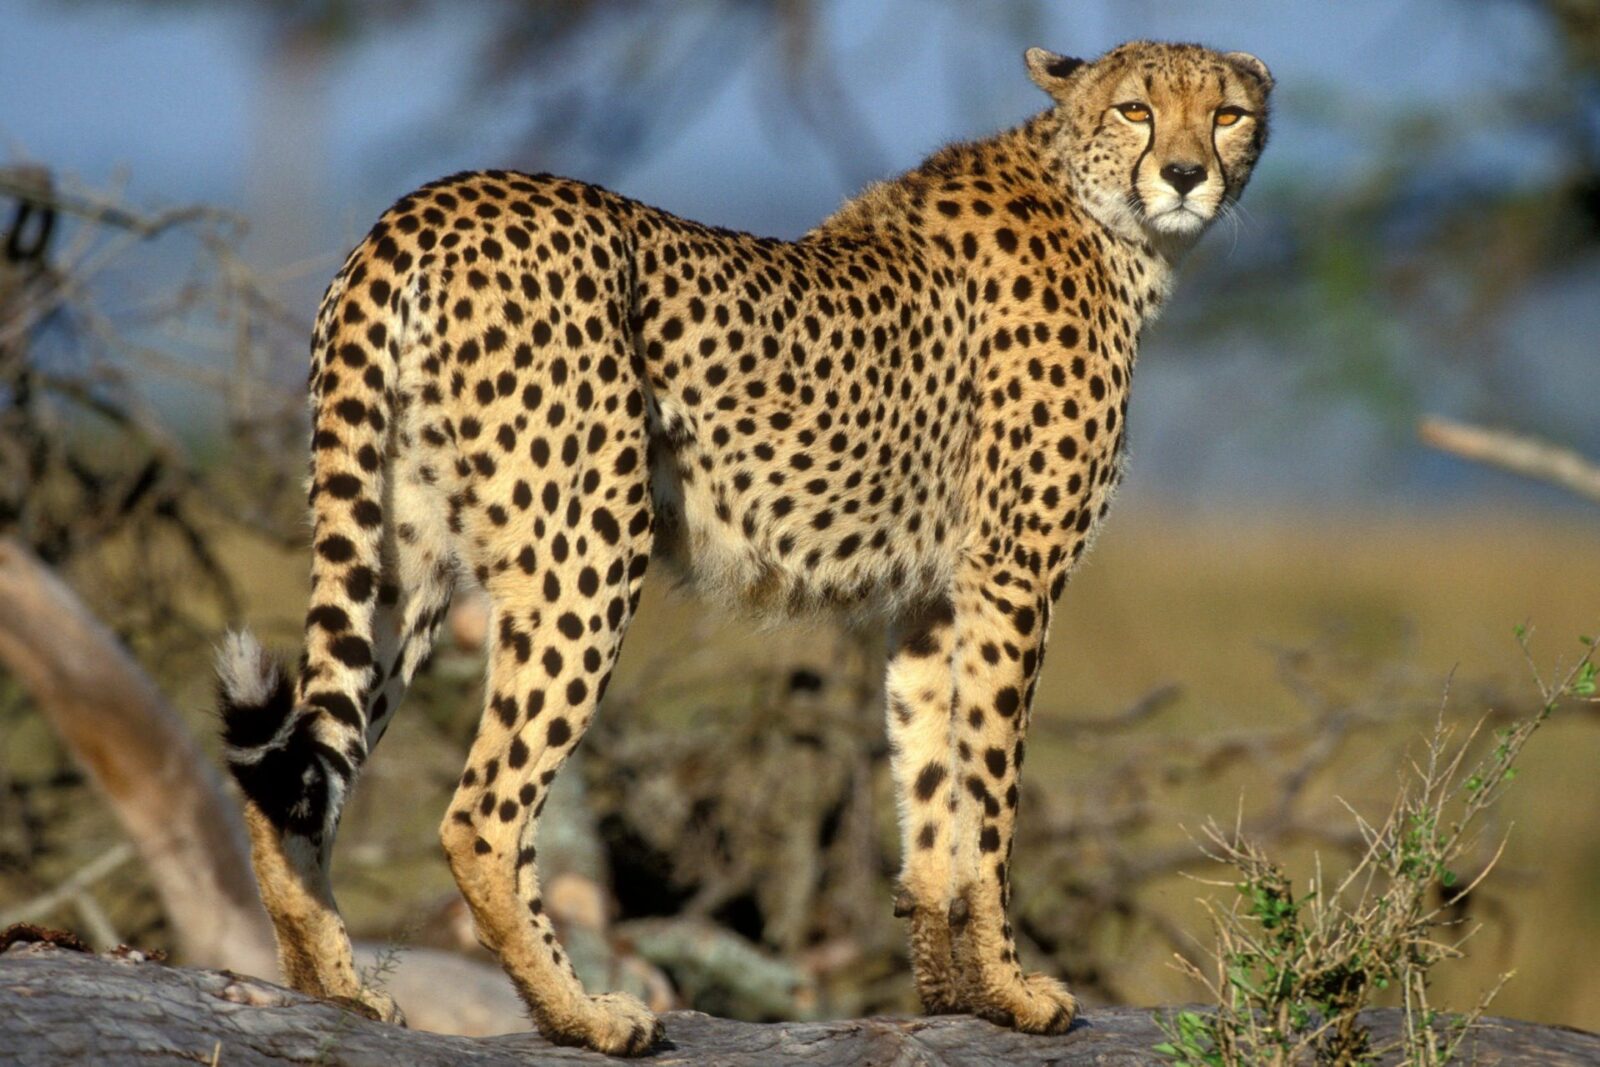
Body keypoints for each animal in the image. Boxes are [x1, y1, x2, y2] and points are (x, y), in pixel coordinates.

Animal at [216, 39, 1271, 1055]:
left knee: (301, 775)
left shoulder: (932, 598)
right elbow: (991, 799)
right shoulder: (1012, 576)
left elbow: (931, 788)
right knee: (482, 813)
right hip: (590, 540)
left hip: (403, 556)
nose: (1185, 174)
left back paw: (335, 990)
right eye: (1135, 108)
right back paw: (583, 1014)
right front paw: (1014, 991)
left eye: (1227, 114)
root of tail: (427, 205)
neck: (1107, 220)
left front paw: (954, 992)